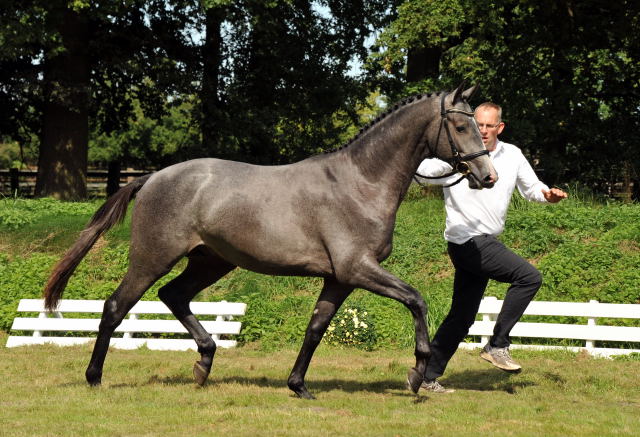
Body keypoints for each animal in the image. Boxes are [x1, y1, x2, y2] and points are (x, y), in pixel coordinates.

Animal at [43, 82, 496, 398]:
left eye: (480, 125)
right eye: (461, 125)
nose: (487, 176)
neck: (361, 182)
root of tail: (153, 176)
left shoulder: (340, 279)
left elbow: (316, 328)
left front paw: (298, 385)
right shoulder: (358, 269)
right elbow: (416, 300)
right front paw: (416, 374)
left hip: (210, 261)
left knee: (174, 295)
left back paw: (204, 362)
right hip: (153, 258)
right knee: (116, 307)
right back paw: (95, 378)